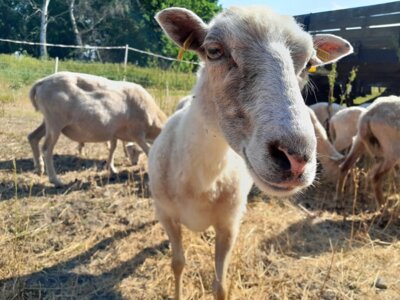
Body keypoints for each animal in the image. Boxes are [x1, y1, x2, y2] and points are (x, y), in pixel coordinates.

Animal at [27, 72, 166, 186]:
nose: (135, 164)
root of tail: (41, 82)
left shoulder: (115, 132)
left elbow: (112, 148)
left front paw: (111, 168)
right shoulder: (137, 133)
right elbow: (149, 151)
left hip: (48, 121)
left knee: (32, 137)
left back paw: (39, 168)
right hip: (55, 122)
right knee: (47, 149)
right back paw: (55, 180)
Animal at [148, 5, 352, 298]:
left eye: (308, 64)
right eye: (214, 51)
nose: (296, 158)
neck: (202, 179)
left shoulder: (230, 224)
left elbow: (220, 285)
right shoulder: (166, 215)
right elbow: (177, 264)